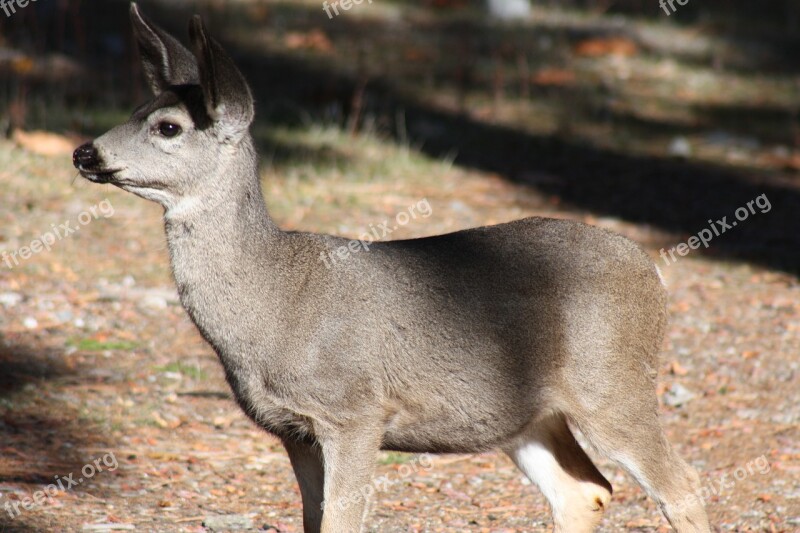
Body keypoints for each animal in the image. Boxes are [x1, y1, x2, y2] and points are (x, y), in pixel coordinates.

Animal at [73, 5, 712, 532]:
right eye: (134, 109)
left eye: (168, 127)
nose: (84, 152)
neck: (274, 299)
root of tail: (651, 272)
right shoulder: (293, 430)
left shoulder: (355, 411)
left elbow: (341, 522)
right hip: (528, 415)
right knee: (586, 490)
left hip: (612, 383)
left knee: (682, 486)